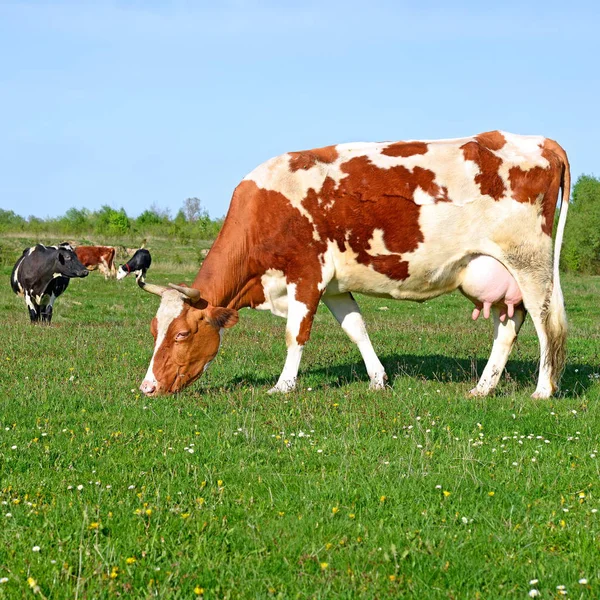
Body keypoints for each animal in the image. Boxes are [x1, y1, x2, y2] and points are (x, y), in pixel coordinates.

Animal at [138, 131, 568, 398]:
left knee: (546, 323)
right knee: (508, 327)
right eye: (154, 329)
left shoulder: (306, 274)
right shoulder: (335, 286)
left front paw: (283, 386)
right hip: (500, 275)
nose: (147, 388)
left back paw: (542, 390)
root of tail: (540, 141)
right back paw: (483, 388)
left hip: (530, 264)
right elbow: (356, 329)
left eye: (181, 334)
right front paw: (378, 380)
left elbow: (296, 335)